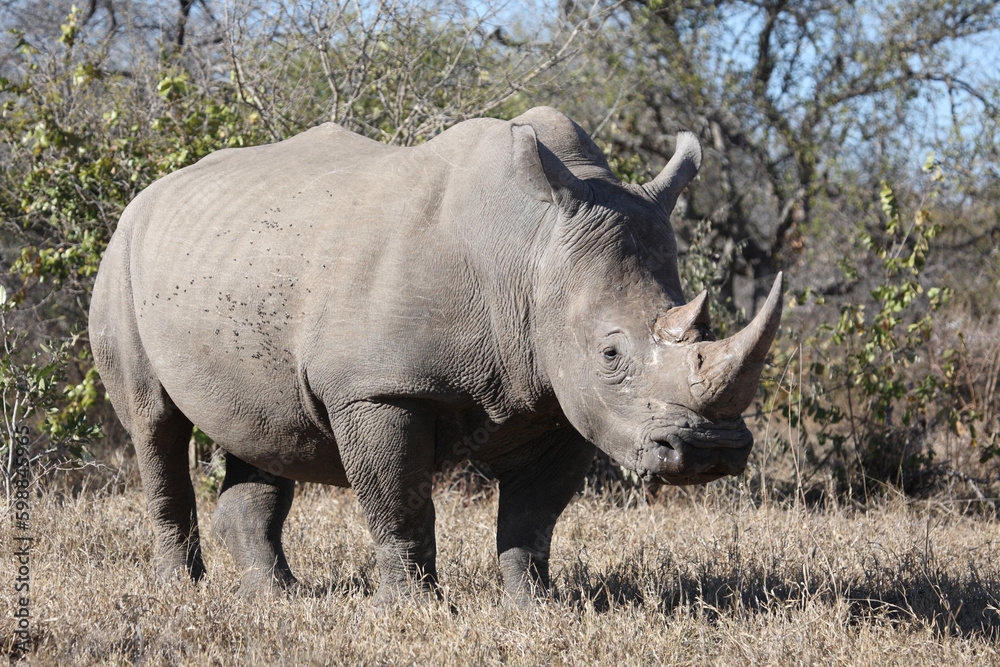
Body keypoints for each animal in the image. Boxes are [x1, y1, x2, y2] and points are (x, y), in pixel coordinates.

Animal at [89, 106, 782, 607]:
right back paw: (182, 592)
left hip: (239, 262)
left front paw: (536, 607)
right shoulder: (377, 387)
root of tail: (148, 194)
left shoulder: (559, 395)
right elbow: (399, 500)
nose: (710, 451)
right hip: (122, 255)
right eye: (611, 352)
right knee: (154, 425)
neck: (530, 252)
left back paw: (278, 599)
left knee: (264, 429)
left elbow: (534, 517)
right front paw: (416, 611)